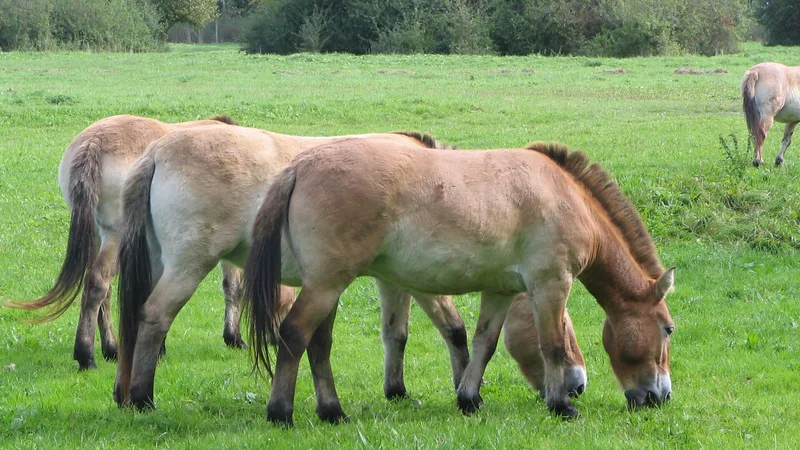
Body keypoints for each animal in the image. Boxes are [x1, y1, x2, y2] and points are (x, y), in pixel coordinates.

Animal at [4, 114, 244, 370]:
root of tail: (94, 142)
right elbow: (232, 286)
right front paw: (233, 337)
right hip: (116, 237)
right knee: (98, 282)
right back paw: (86, 355)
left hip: (97, 236)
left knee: (102, 290)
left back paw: (110, 349)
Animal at [111, 125, 588, 415]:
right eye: (565, 325)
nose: (578, 384)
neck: (441, 179)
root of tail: (158, 152)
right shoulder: (420, 279)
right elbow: (453, 329)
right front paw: (463, 386)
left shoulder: (391, 278)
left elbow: (398, 333)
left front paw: (400, 390)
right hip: (189, 264)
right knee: (155, 316)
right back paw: (143, 397)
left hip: (158, 262)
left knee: (134, 318)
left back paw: (124, 395)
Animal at [244, 138, 675, 425]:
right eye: (668, 329)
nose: (662, 396)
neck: (564, 196)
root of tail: (301, 166)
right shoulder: (551, 284)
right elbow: (551, 346)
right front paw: (561, 405)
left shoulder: (501, 291)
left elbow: (484, 344)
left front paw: (469, 399)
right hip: (326, 285)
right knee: (294, 335)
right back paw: (281, 412)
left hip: (328, 287)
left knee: (319, 344)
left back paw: (332, 411)